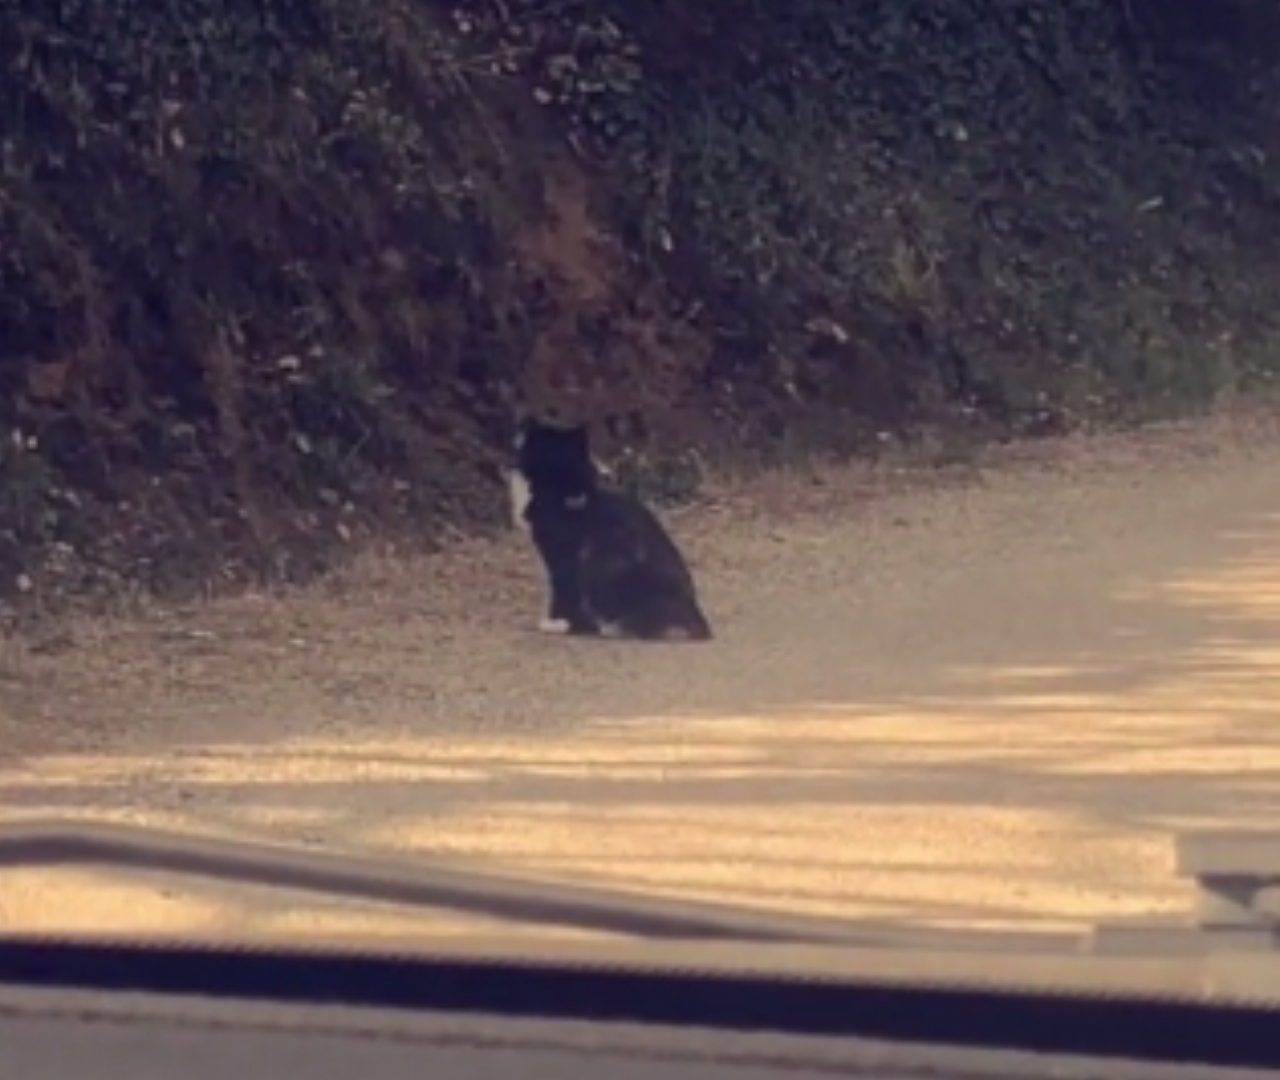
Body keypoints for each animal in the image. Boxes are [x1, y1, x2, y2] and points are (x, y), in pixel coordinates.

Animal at [509, 417, 716, 642]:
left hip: (607, 565)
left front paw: (559, 623)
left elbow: (562, 595)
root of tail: (701, 625)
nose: (519, 426)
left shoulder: (560, 556)